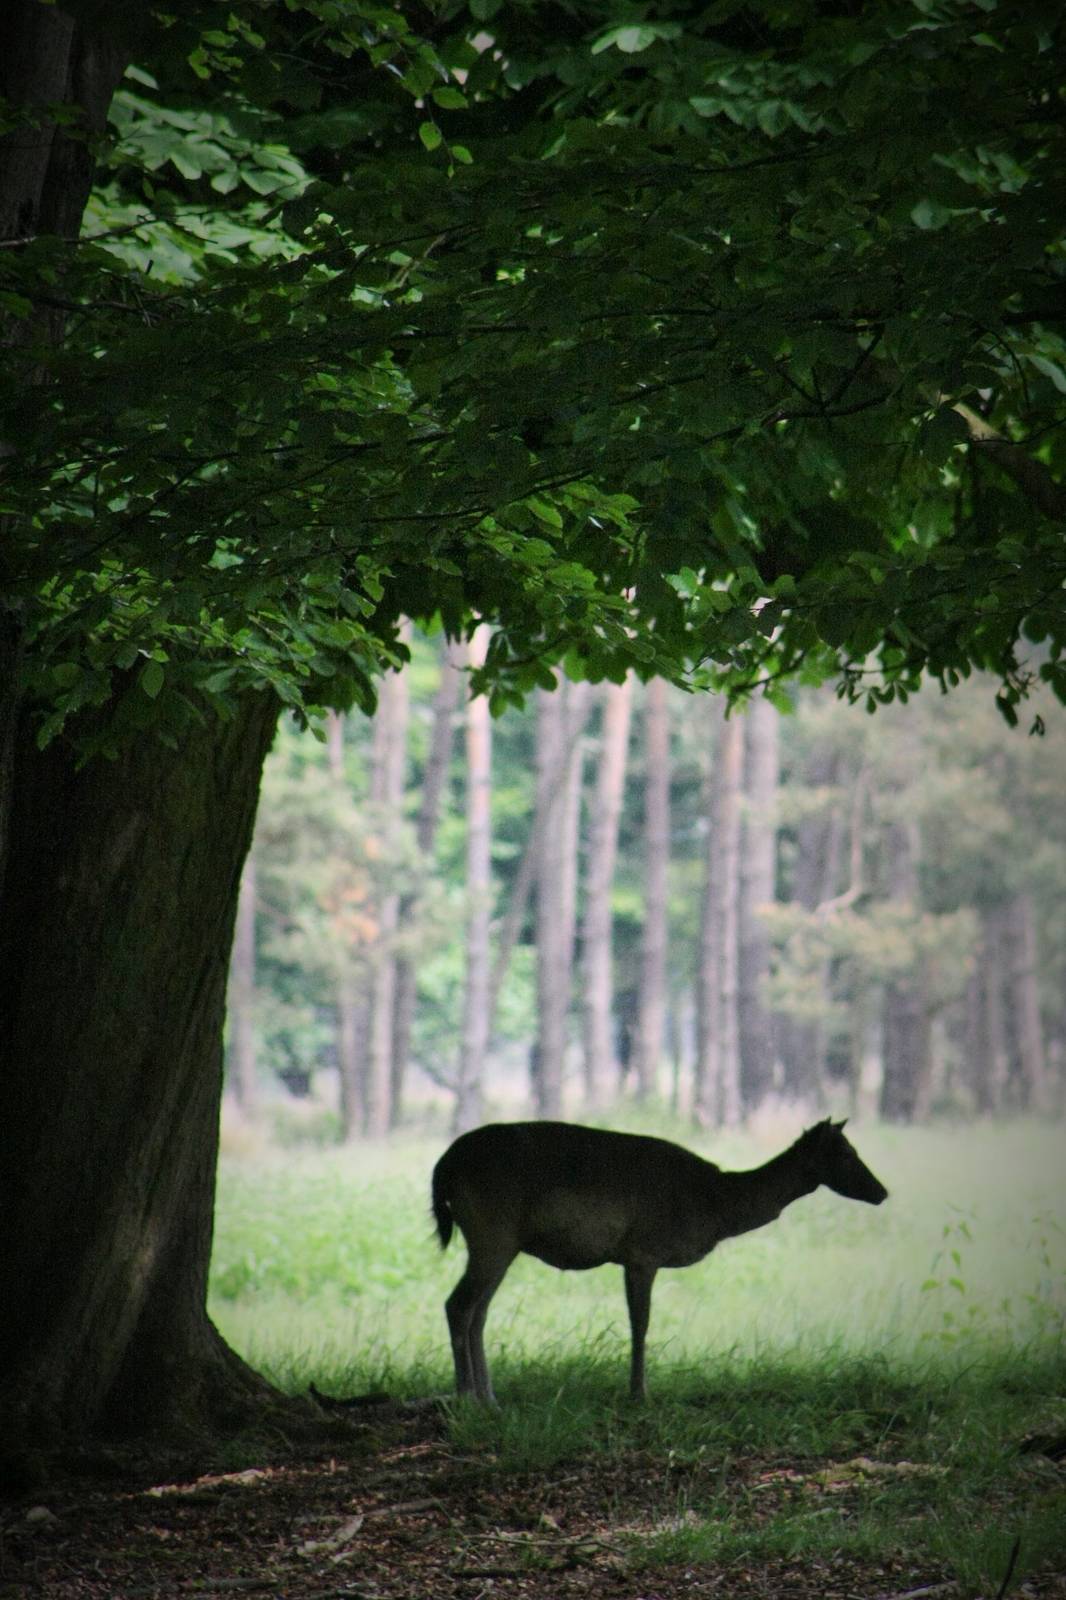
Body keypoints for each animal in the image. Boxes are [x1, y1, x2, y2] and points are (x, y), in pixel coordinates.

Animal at [431, 1117, 887, 1404]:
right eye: (846, 1153)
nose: (882, 1191)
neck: (716, 1204)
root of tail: (443, 1166)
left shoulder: (636, 1258)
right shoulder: (642, 1253)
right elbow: (641, 1322)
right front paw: (640, 1394)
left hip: (498, 1245)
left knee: (478, 1311)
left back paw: (489, 1395)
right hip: (493, 1235)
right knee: (458, 1305)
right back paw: (467, 1396)